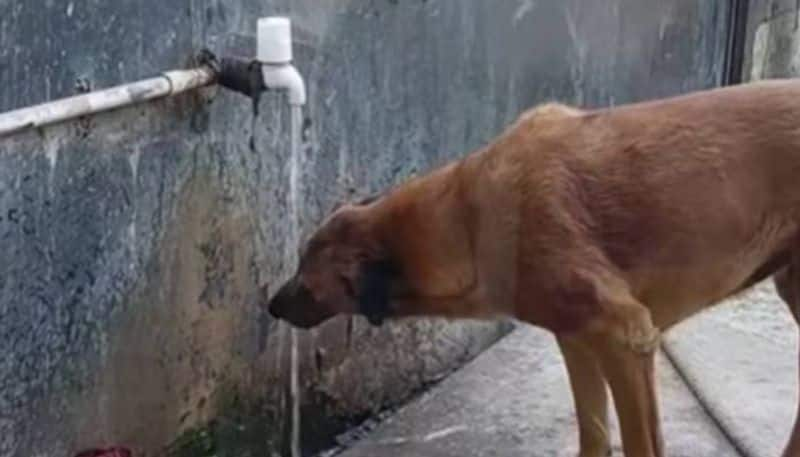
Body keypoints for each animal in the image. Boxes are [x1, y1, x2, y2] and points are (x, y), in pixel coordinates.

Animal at [268, 80, 800, 454]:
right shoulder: (577, 339)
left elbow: (639, 443)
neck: (467, 220)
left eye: (306, 273)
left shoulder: (625, 335)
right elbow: (594, 434)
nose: (271, 305)